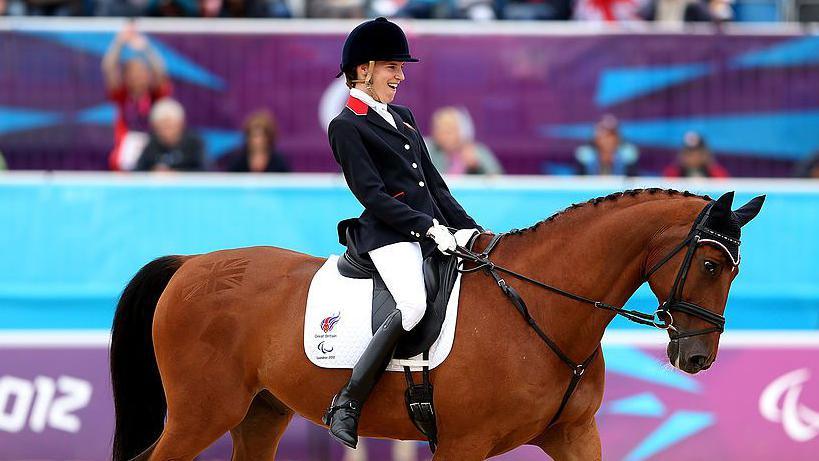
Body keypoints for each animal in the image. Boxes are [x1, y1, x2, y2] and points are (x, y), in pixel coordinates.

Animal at [109, 188, 764, 460]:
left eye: (735, 268)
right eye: (710, 264)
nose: (697, 357)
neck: (541, 308)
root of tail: (192, 263)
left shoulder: (574, 434)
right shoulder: (462, 443)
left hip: (260, 413)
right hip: (202, 413)